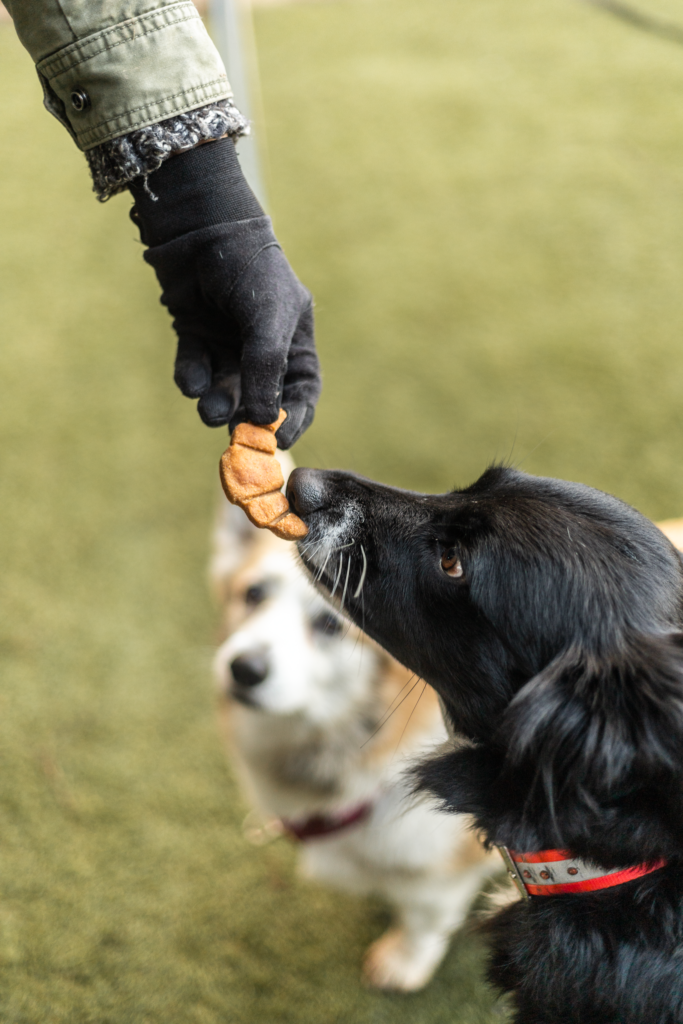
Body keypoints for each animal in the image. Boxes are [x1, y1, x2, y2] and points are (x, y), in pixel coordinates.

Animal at [210, 462, 499, 991]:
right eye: (253, 594)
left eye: (329, 625)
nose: (243, 670)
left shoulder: (446, 872)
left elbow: (424, 917)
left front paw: (402, 962)